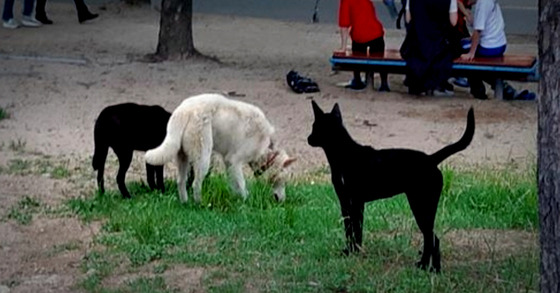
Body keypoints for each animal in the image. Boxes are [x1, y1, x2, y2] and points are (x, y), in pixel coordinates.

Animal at [144, 94, 296, 203]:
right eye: (283, 181)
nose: (281, 201)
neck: (266, 150)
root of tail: (183, 111)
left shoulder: (229, 164)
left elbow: (235, 185)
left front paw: (237, 199)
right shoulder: (234, 161)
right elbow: (242, 185)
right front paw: (247, 201)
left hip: (183, 158)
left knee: (180, 182)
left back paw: (185, 203)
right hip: (204, 158)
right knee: (195, 184)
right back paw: (200, 204)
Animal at [308, 100, 474, 272]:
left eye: (315, 127)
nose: (308, 138)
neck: (343, 155)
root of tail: (430, 159)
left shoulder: (357, 202)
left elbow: (357, 230)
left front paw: (355, 252)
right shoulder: (345, 203)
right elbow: (349, 230)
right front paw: (349, 251)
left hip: (421, 207)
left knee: (431, 238)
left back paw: (424, 266)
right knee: (433, 239)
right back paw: (434, 269)